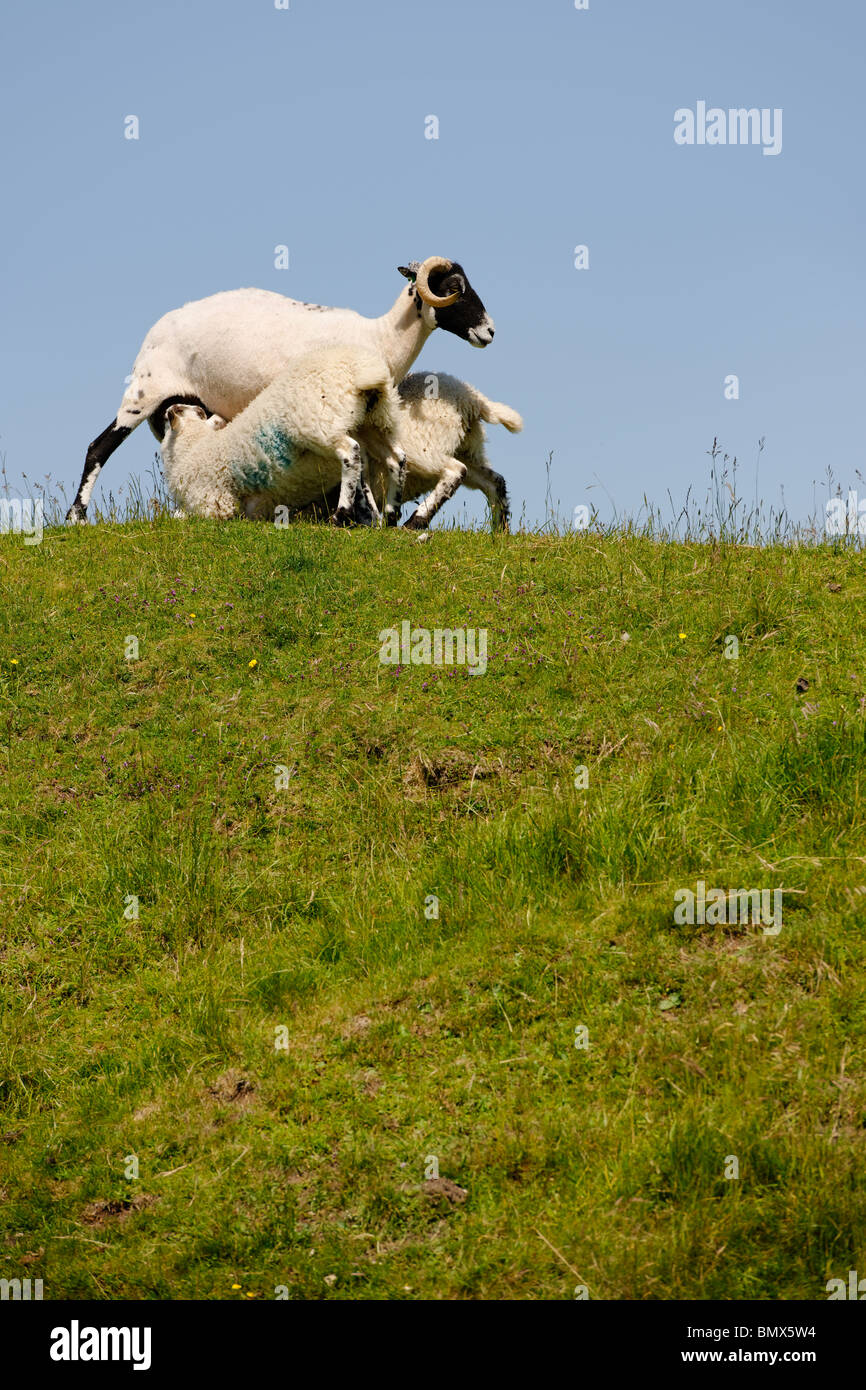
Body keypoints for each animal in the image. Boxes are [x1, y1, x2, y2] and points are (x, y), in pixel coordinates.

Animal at [161, 344, 405, 522]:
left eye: (167, 420)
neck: (195, 447)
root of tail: (362, 369)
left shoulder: (212, 501)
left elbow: (182, 515)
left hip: (321, 424)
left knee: (350, 452)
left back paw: (340, 514)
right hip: (377, 421)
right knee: (396, 458)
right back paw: (390, 513)